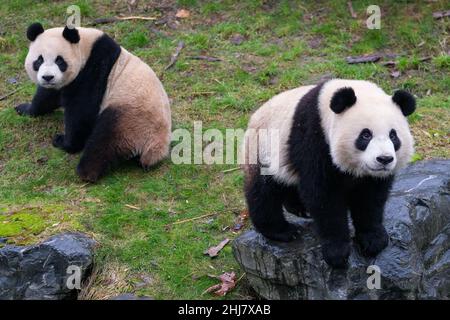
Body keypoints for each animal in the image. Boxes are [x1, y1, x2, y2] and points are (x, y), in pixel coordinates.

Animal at [15, 23, 171, 182]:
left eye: (59, 60)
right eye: (39, 60)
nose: (48, 77)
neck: (85, 47)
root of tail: (155, 148)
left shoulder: (93, 72)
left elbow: (81, 112)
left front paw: (65, 143)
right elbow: (46, 96)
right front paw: (24, 109)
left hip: (131, 118)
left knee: (105, 139)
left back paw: (85, 172)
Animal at [244, 79, 416, 268]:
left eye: (393, 136)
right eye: (365, 135)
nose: (384, 159)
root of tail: (253, 117)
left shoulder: (373, 176)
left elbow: (370, 198)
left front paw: (373, 239)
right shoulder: (313, 137)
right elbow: (324, 196)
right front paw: (337, 252)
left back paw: (299, 208)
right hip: (263, 148)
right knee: (264, 191)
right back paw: (282, 230)